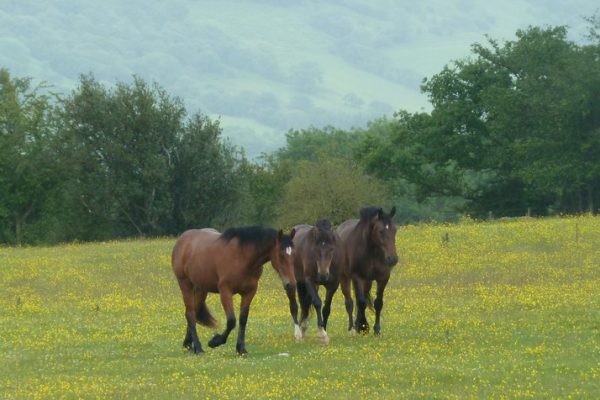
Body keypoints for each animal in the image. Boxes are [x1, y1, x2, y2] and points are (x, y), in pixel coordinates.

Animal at [171, 226, 297, 355]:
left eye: (294, 254)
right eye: (281, 255)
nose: (291, 284)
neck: (242, 257)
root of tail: (182, 240)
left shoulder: (249, 292)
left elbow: (243, 319)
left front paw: (241, 349)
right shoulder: (225, 291)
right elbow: (231, 321)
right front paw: (215, 341)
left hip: (201, 289)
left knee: (194, 312)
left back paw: (188, 344)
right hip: (185, 284)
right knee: (190, 314)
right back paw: (198, 347)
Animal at [336, 206, 398, 335]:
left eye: (395, 230)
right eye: (381, 231)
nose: (393, 259)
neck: (372, 252)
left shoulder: (383, 278)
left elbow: (378, 303)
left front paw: (376, 329)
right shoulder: (357, 277)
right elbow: (361, 303)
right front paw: (362, 327)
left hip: (367, 281)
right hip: (345, 278)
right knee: (349, 302)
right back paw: (352, 327)